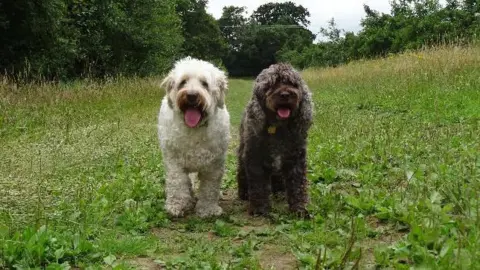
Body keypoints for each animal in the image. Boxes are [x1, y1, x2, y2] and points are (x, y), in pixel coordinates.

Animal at [158, 57, 231, 217]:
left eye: (204, 83)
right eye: (183, 82)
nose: (191, 95)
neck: (194, 129)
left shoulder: (214, 165)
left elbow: (210, 188)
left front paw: (207, 209)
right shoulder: (174, 162)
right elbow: (178, 183)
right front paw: (177, 205)